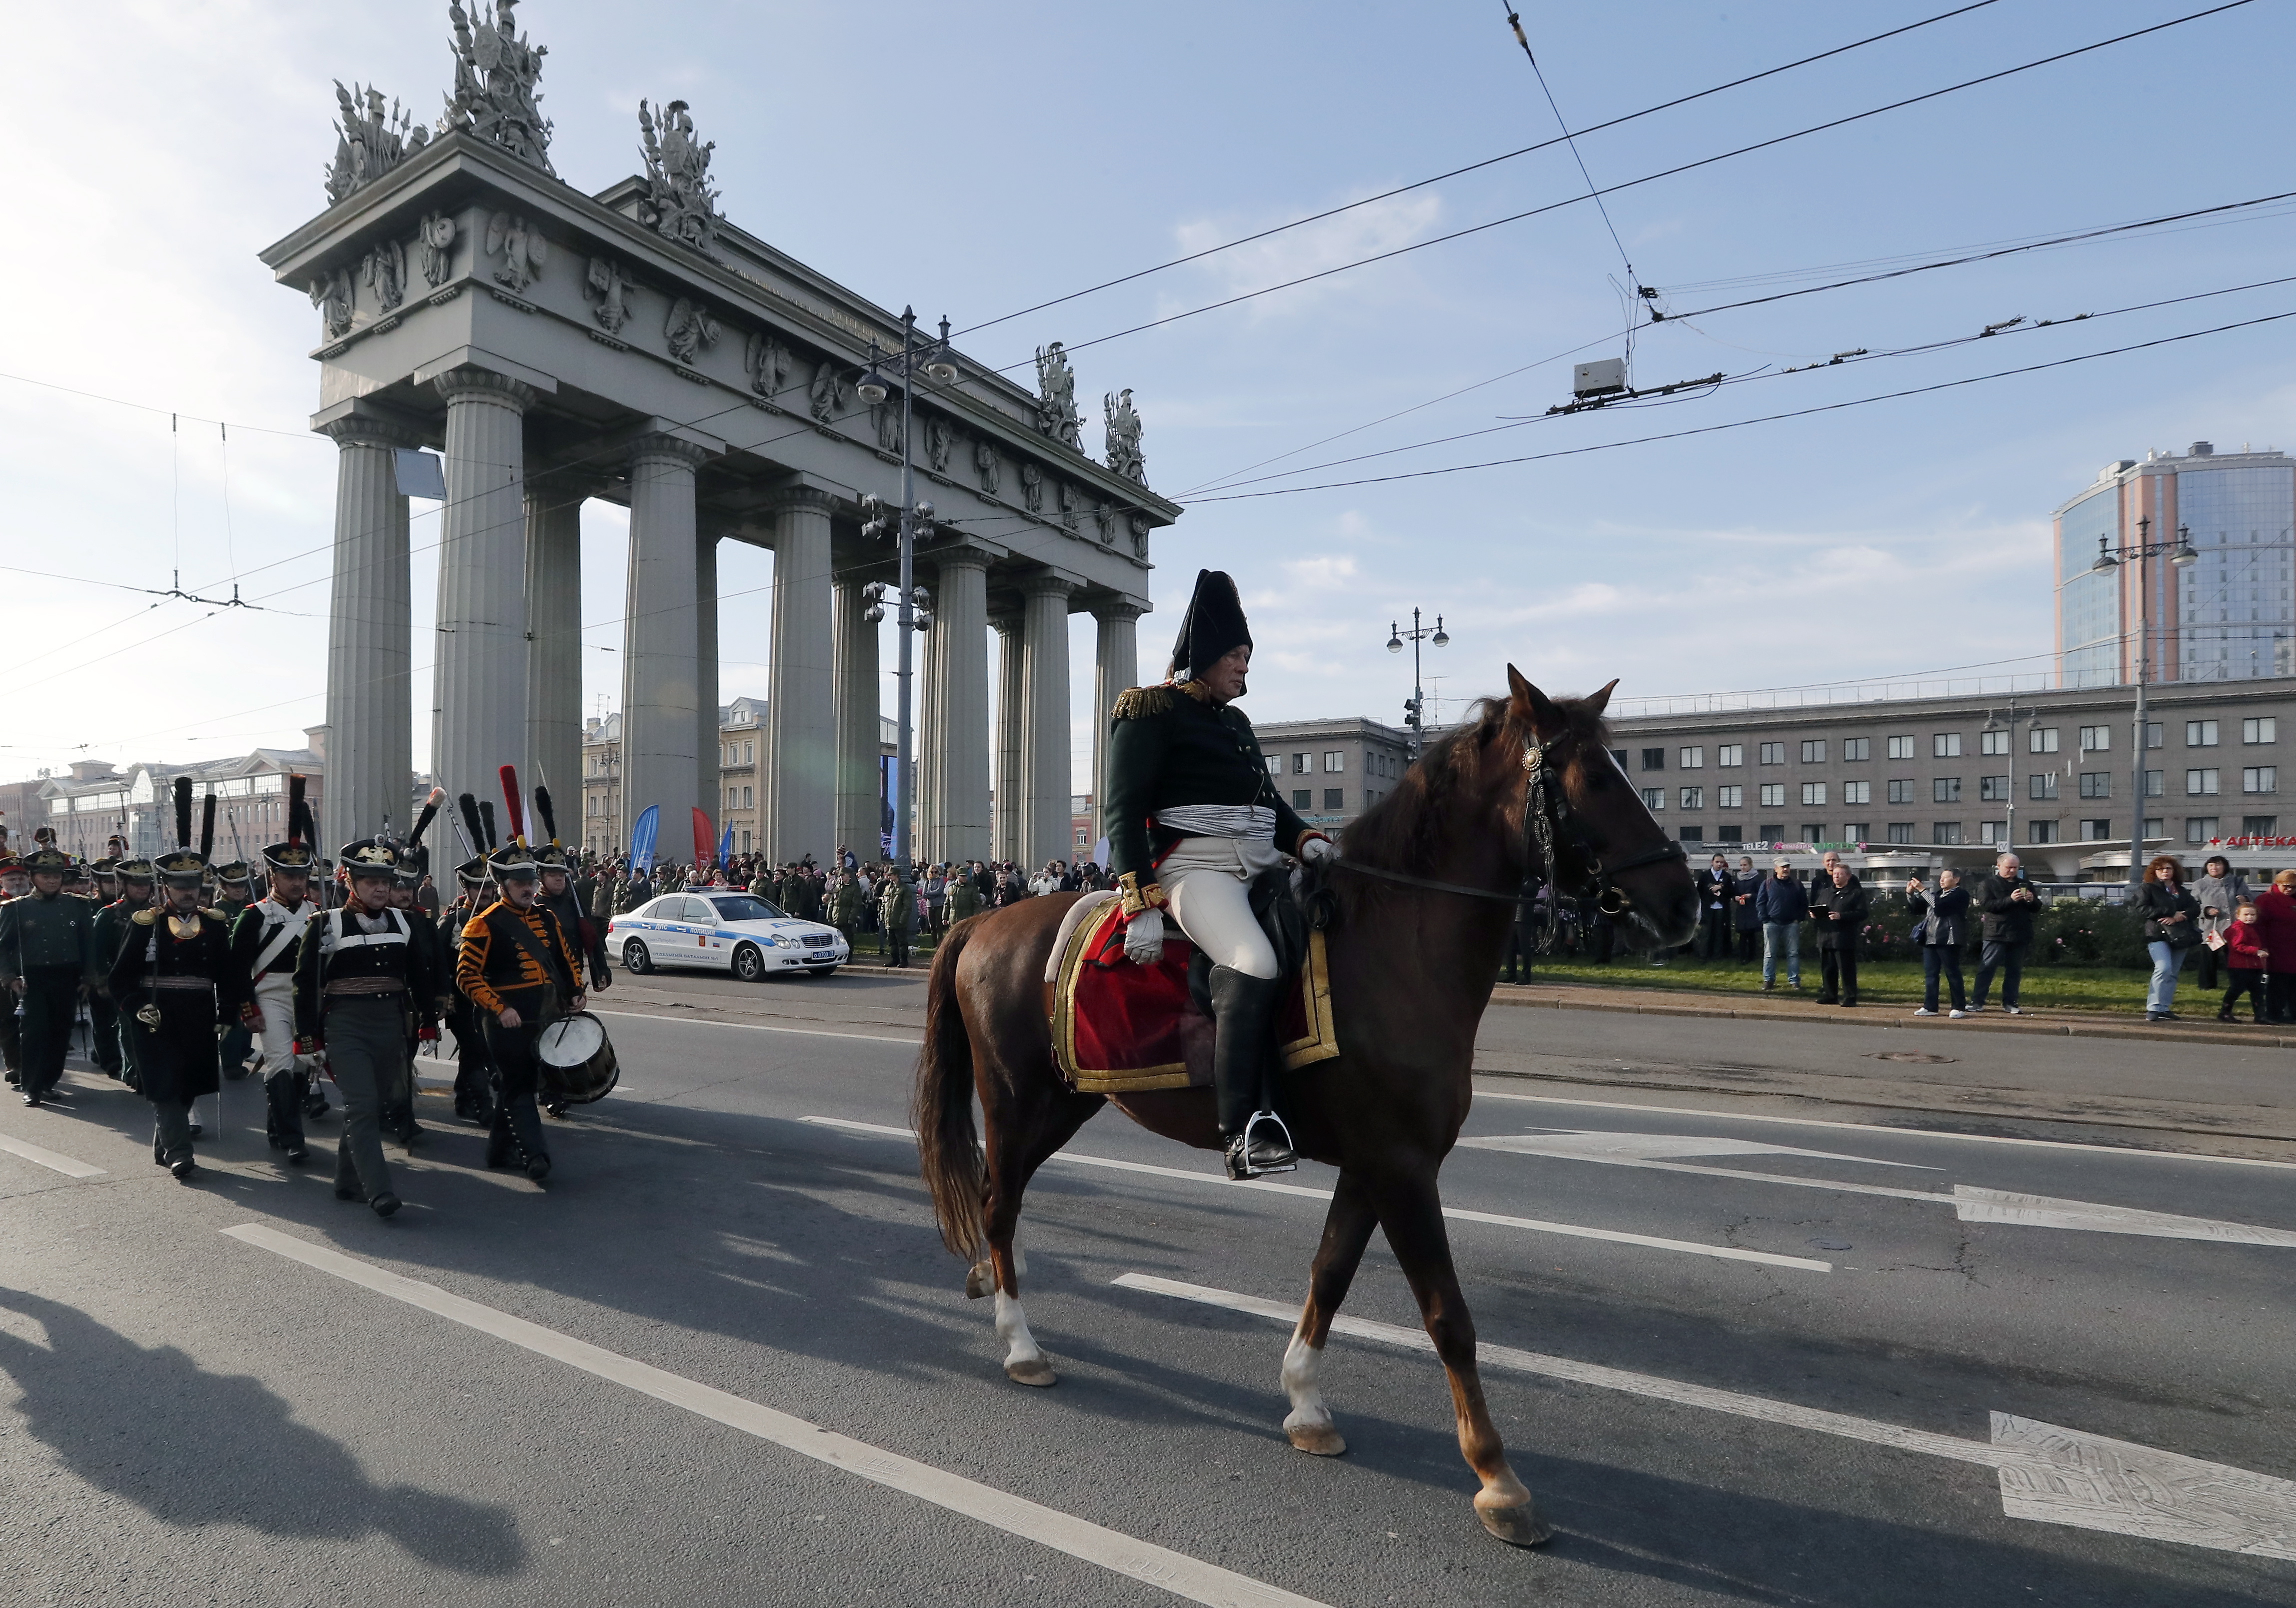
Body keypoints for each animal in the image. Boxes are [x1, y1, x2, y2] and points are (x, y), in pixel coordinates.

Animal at [904, 670, 1699, 1544]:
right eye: (1592, 778)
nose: (1685, 902)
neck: (1393, 945)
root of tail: (983, 918)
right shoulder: (1402, 1167)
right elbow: (1447, 1316)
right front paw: (1498, 1478)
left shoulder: (1373, 1164)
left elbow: (1331, 1272)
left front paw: (1307, 1405)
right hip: (1017, 1105)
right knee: (1000, 1207)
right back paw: (1021, 1347)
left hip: (1061, 1108)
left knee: (994, 1200)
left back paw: (986, 1285)